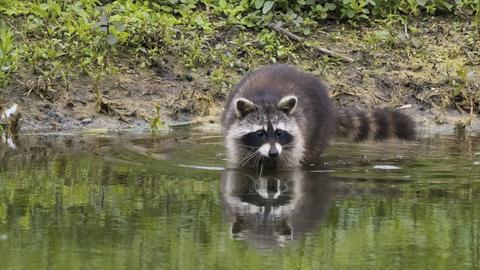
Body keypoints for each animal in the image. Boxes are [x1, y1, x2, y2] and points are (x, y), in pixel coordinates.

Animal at [223, 64, 414, 169]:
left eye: (279, 132)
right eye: (259, 133)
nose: (273, 153)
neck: (265, 100)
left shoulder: (295, 140)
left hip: (319, 130)